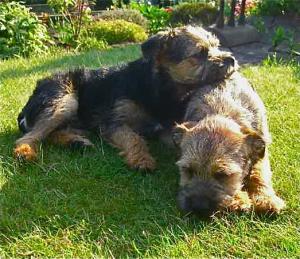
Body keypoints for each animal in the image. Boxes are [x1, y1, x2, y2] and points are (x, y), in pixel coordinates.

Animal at [14, 26, 234, 172]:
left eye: (216, 46)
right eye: (199, 53)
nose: (231, 59)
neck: (158, 88)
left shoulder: (169, 128)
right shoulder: (114, 123)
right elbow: (133, 138)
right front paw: (141, 159)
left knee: (52, 132)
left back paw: (75, 141)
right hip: (64, 99)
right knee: (31, 136)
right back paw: (25, 152)